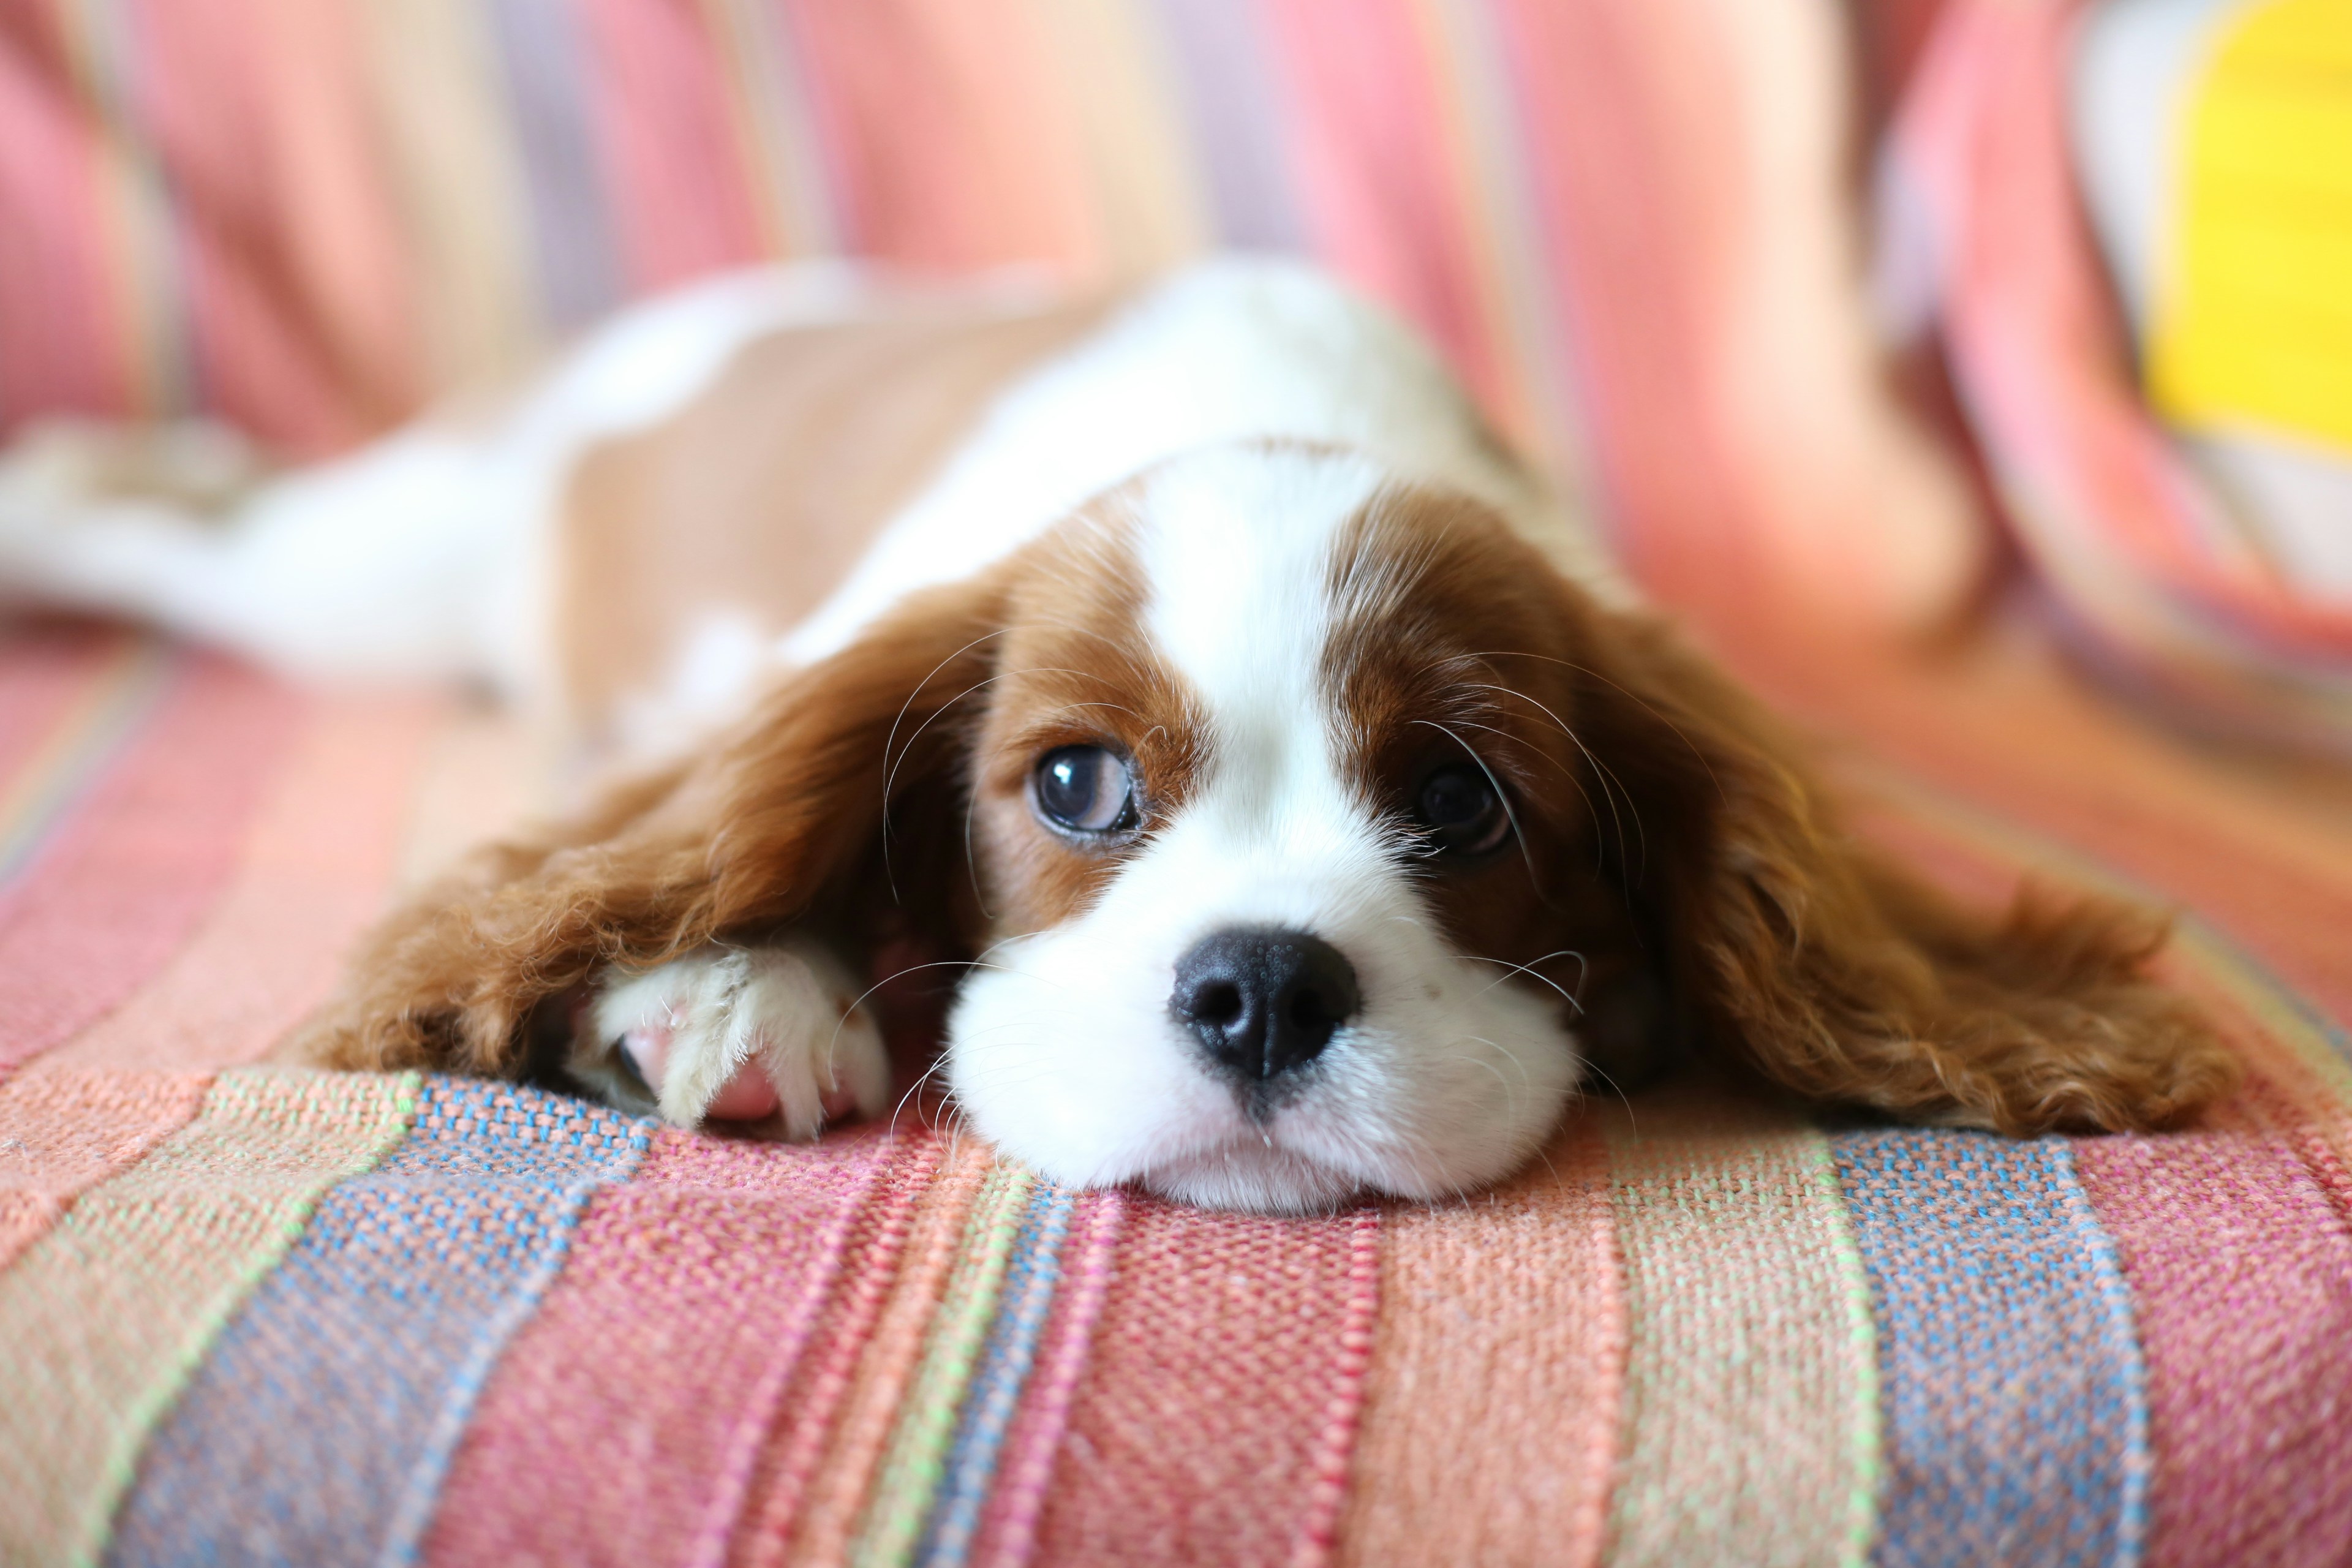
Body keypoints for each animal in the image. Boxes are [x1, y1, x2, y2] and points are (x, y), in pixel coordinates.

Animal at [0, 261, 2230, 1213]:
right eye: (1079, 785)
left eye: (1458, 799)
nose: (1258, 992)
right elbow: (701, 822)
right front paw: (735, 982)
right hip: (381, 566)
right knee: (181, 511)